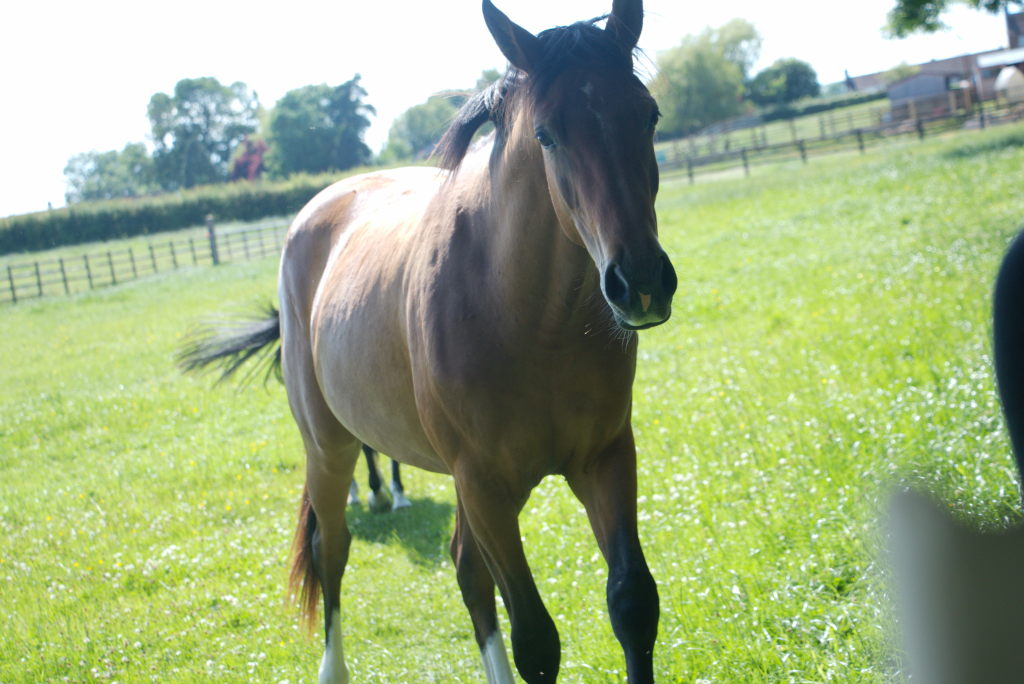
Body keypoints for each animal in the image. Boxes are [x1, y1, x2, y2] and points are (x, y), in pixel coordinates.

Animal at [182, 1, 679, 679]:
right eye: (547, 134)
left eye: (648, 114)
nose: (642, 281)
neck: (527, 318)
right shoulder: (484, 485)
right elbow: (536, 640)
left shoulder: (604, 459)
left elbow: (631, 604)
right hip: (329, 448)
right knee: (333, 547)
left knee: (466, 569)